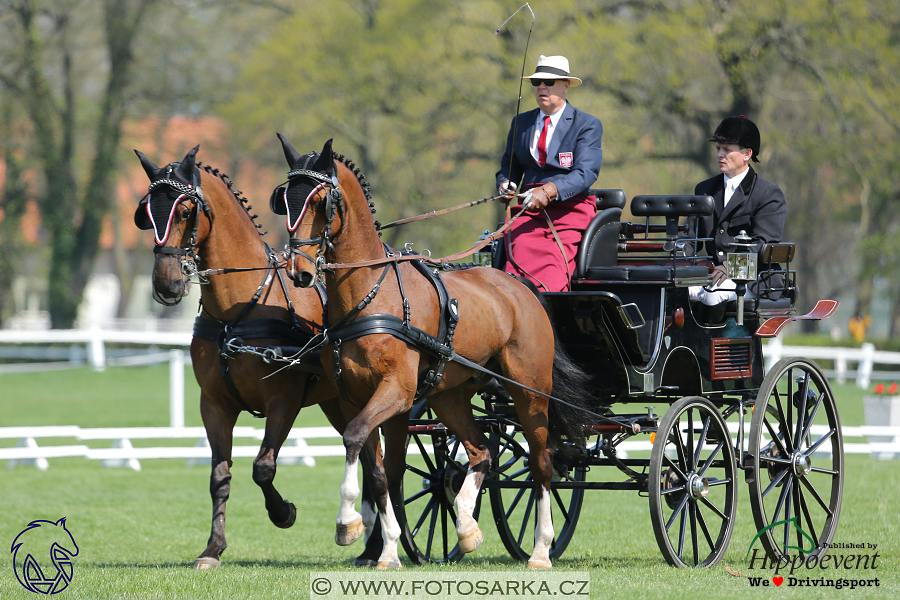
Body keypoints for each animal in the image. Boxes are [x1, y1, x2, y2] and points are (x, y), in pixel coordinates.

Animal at [134, 145, 384, 568]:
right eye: (148, 213)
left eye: (185, 212)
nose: (166, 284)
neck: (238, 311)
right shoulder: (214, 404)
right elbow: (219, 477)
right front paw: (213, 548)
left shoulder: (283, 400)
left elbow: (263, 468)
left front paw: (283, 512)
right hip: (339, 403)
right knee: (367, 459)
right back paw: (370, 546)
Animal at [270, 137, 592, 572]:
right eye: (284, 200)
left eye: (321, 203)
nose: (299, 272)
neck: (370, 295)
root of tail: (521, 287)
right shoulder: (361, 398)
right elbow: (380, 472)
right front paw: (388, 550)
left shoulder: (397, 392)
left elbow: (355, 439)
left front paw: (347, 523)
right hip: (449, 396)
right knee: (482, 450)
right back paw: (466, 526)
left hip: (529, 392)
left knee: (542, 463)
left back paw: (540, 549)